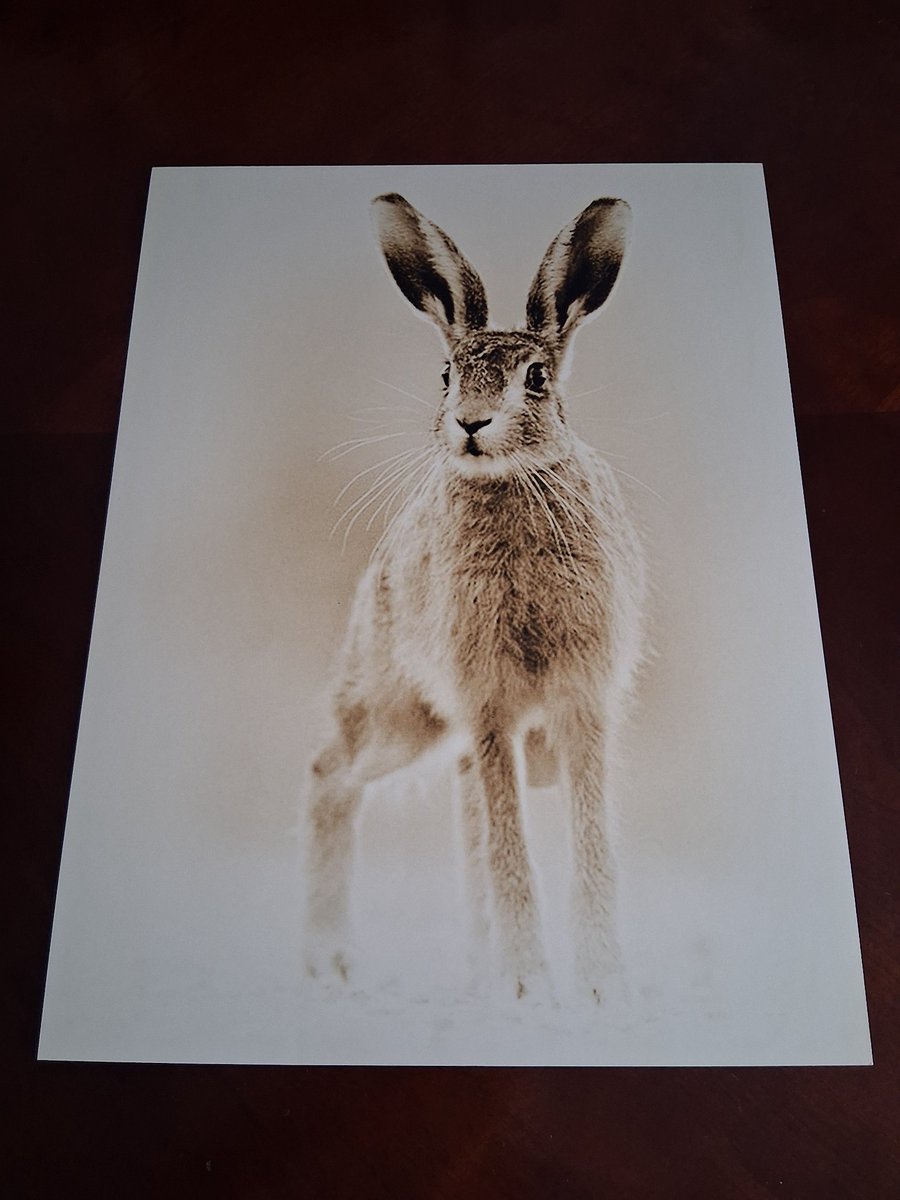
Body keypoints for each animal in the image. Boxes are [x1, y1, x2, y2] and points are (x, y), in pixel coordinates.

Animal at [306, 192, 645, 1002]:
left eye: (537, 379)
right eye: (445, 376)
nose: (469, 425)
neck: (512, 484)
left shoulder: (580, 699)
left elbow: (588, 833)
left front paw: (600, 982)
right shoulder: (487, 702)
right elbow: (506, 838)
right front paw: (526, 984)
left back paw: (470, 966)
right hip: (400, 715)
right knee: (330, 776)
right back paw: (330, 959)